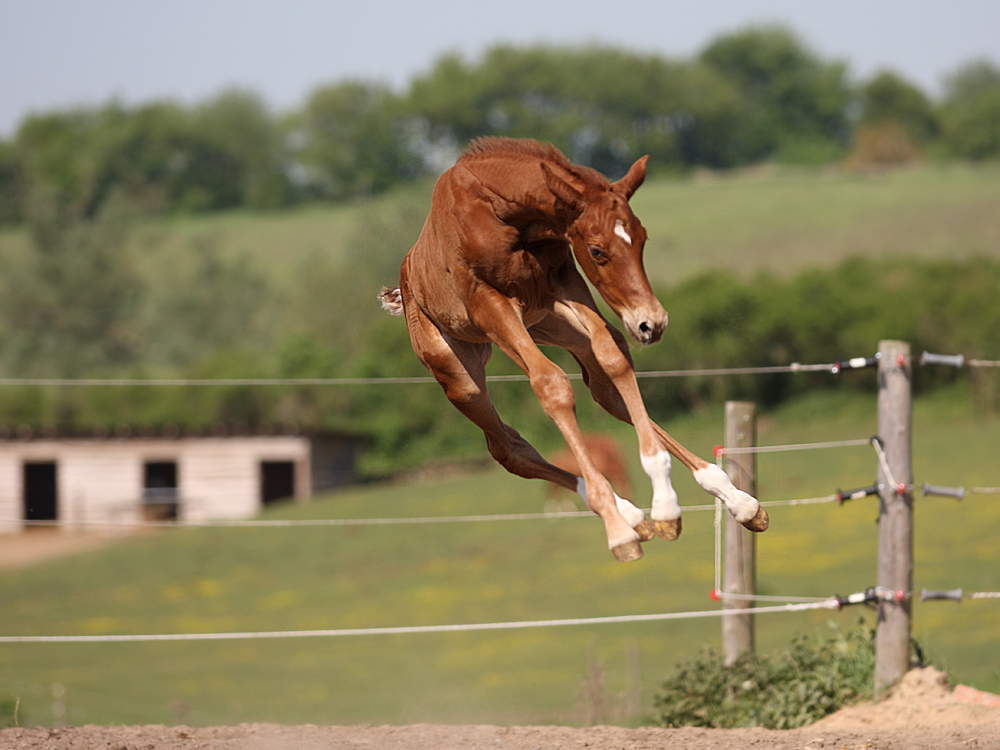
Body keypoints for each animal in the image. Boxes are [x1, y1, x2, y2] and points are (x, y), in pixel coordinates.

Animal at [380, 140, 764, 564]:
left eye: (642, 238)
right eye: (596, 250)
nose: (652, 323)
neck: (501, 212)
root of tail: (404, 286)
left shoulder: (564, 282)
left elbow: (613, 357)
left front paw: (667, 508)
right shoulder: (489, 304)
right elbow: (551, 385)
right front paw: (619, 531)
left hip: (550, 323)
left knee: (606, 388)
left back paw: (730, 501)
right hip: (459, 372)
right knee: (506, 447)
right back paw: (626, 516)